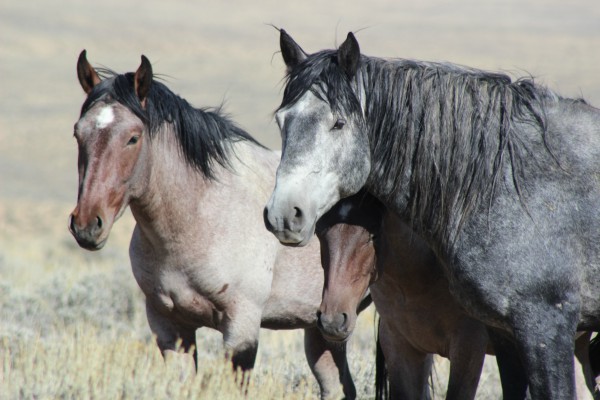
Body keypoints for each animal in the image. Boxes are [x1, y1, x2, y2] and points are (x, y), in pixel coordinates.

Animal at [69, 50, 360, 400]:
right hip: (324, 328)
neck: (200, 215)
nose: (87, 224)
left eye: (133, 138)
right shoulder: (170, 328)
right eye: (78, 133)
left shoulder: (241, 328)